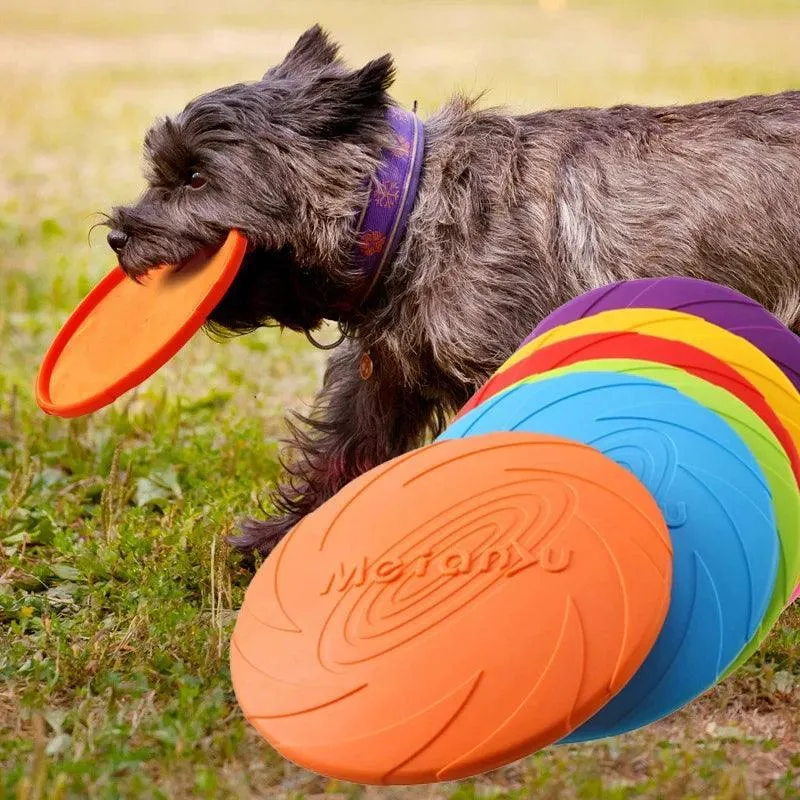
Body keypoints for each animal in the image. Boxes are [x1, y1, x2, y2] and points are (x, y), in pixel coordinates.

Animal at [104, 26, 800, 564]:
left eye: (196, 177)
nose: (117, 235)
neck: (407, 212)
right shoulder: (381, 376)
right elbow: (340, 454)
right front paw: (280, 541)